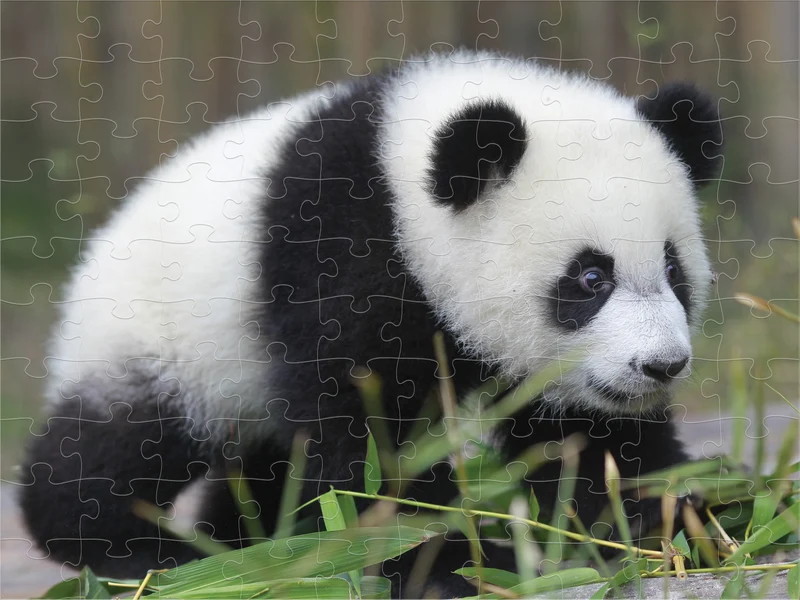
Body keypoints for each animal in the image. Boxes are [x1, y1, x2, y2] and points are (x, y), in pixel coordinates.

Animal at [20, 50, 721, 598]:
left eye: (673, 269)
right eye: (591, 278)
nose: (661, 366)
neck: (402, 186)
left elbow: (587, 440)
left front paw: (663, 521)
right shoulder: (342, 255)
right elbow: (366, 436)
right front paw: (445, 561)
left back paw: (257, 541)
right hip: (160, 339)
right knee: (121, 444)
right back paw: (136, 551)